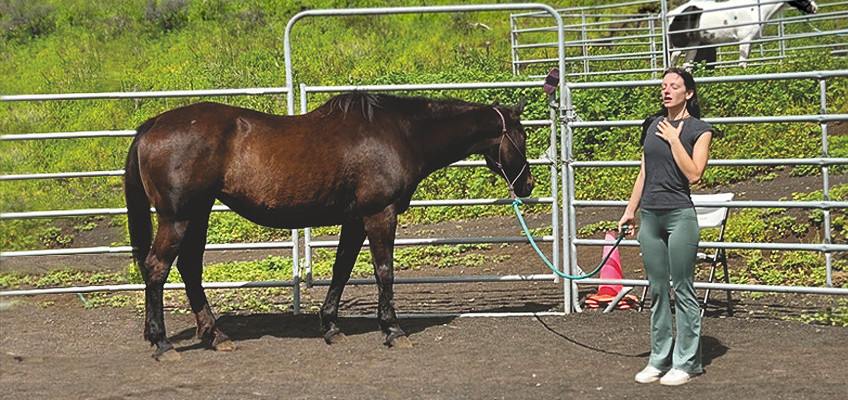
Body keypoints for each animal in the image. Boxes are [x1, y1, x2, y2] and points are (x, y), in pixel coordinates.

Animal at [123, 92, 533, 360]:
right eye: (523, 136)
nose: (527, 185)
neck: (400, 133)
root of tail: (152, 125)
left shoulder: (355, 219)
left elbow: (342, 269)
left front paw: (332, 327)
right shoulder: (380, 213)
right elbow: (384, 271)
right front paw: (393, 330)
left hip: (198, 214)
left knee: (189, 268)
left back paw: (215, 336)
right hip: (179, 217)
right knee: (158, 268)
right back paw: (163, 344)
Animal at [667, 0, 818, 67]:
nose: (814, 8)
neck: (755, 9)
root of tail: (671, 14)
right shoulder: (744, 41)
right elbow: (742, 64)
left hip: (693, 45)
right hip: (678, 47)